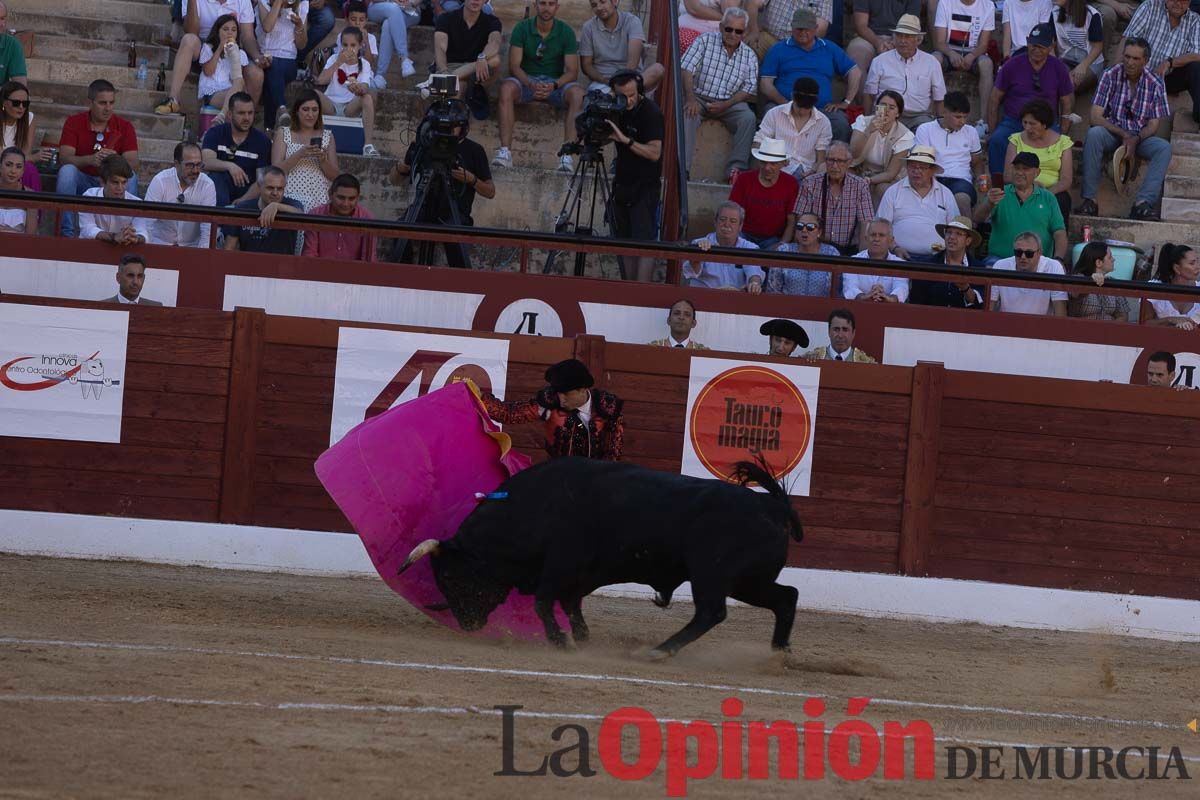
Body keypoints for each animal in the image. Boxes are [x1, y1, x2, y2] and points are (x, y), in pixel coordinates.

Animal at [398, 453, 801, 662]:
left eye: (449, 577)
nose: (467, 624)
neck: (532, 508)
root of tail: (771, 505)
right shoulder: (576, 577)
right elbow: (569, 604)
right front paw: (582, 638)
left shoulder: (559, 566)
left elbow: (544, 602)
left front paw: (561, 642)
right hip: (748, 581)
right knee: (786, 597)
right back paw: (778, 653)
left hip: (711, 575)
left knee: (711, 612)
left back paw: (658, 651)